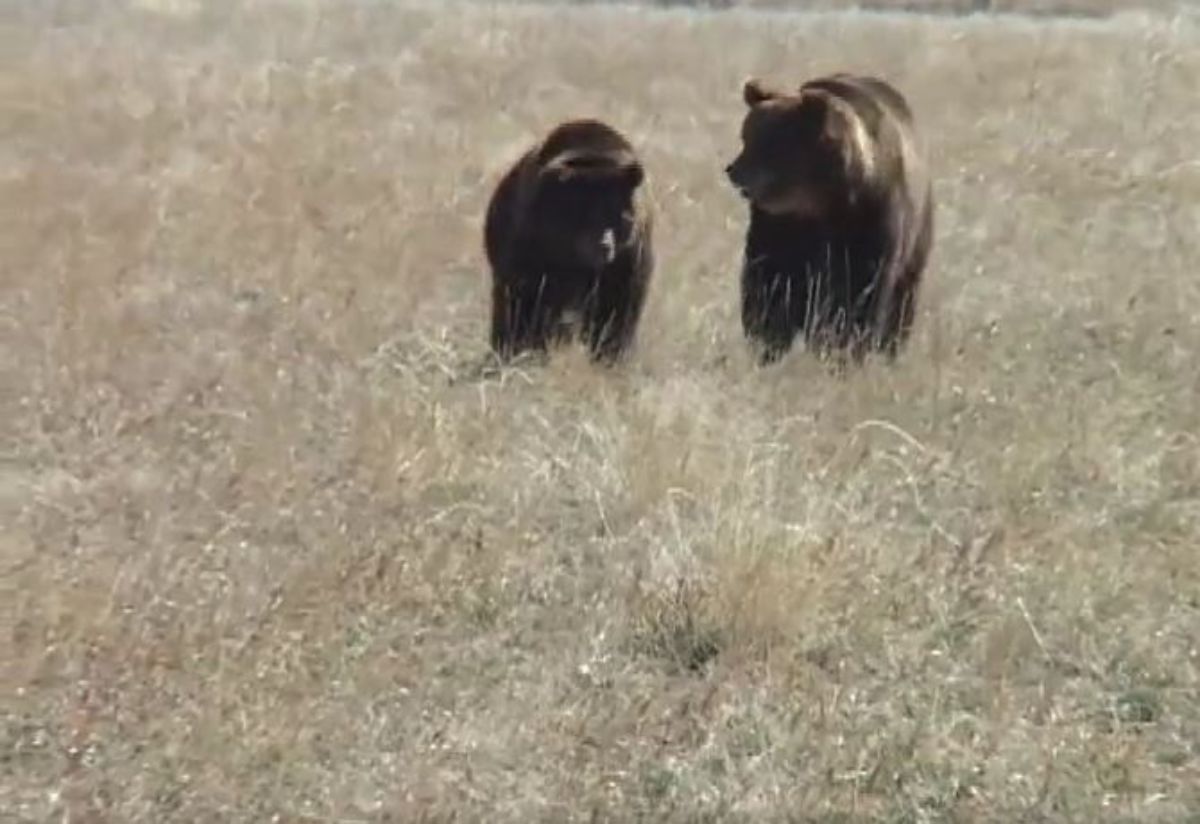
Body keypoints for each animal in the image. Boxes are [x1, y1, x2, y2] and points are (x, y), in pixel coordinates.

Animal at [484, 119, 657, 364]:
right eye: (580, 212)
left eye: (619, 213)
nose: (603, 246)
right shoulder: (532, 249)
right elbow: (524, 304)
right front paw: (521, 349)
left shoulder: (628, 259)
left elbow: (618, 312)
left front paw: (611, 356)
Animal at [724, 73, 931, 364]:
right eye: (746, 135)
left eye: (769, 143)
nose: (733, 170)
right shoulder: (776, 229)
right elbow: (769, 287)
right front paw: (767, 343)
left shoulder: (872, 223)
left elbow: (861, 294)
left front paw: (845, 348)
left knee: (902, 302)